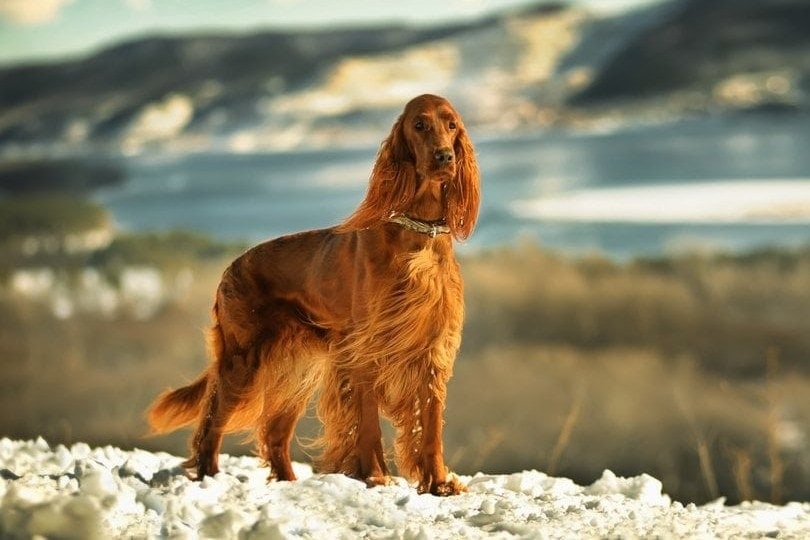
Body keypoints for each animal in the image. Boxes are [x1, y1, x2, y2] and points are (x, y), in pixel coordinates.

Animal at [148, 94, 476, 494]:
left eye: (452, 125)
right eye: (419, 125)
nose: (445, 157)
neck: (419, 236)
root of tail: (230, 268)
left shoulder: (431, 351)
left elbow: (430, 428)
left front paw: (439, 484)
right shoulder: (363, 351)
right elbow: (368, 424)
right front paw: (375, 476)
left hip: (295, 370)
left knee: (273, 433)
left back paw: (286, 482)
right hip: (243, 361)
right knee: (212, 420)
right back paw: (209, 476)